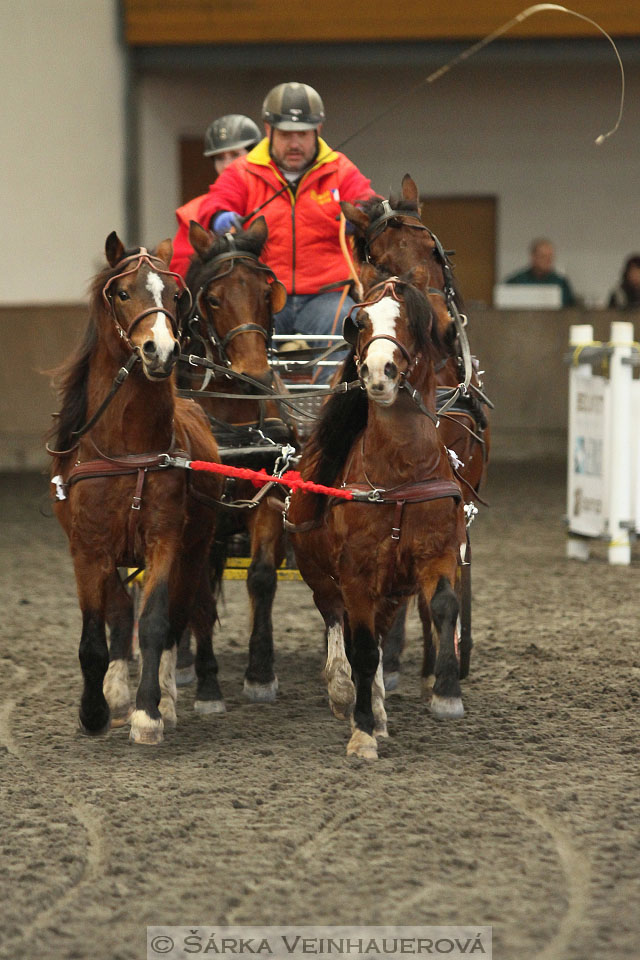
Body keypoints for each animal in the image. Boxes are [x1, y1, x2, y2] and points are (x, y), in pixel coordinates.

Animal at [48, 231, 222, 744]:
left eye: (177, 294)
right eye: (123, 293)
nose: (160, 350)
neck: (127, 450)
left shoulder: (165, 540)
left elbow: (157, 623)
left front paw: (149, 713)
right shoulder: (88, 547)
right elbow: (96, 634)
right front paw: (94, 712)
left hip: (196, 548)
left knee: (180, 617)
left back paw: (166, 696)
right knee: (120, 613)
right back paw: (115, 690)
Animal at [288, 262, 468, 756]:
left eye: (409, 321)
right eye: (362, 321)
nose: (377, 370)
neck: (400, 475)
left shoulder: (437, 553)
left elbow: (444, 606)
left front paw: (446, 694)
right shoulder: (356, 573)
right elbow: (363, 650)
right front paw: (363, 731)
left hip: (390, 590)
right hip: (322, 576)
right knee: (338, 625)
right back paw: (344, 693)